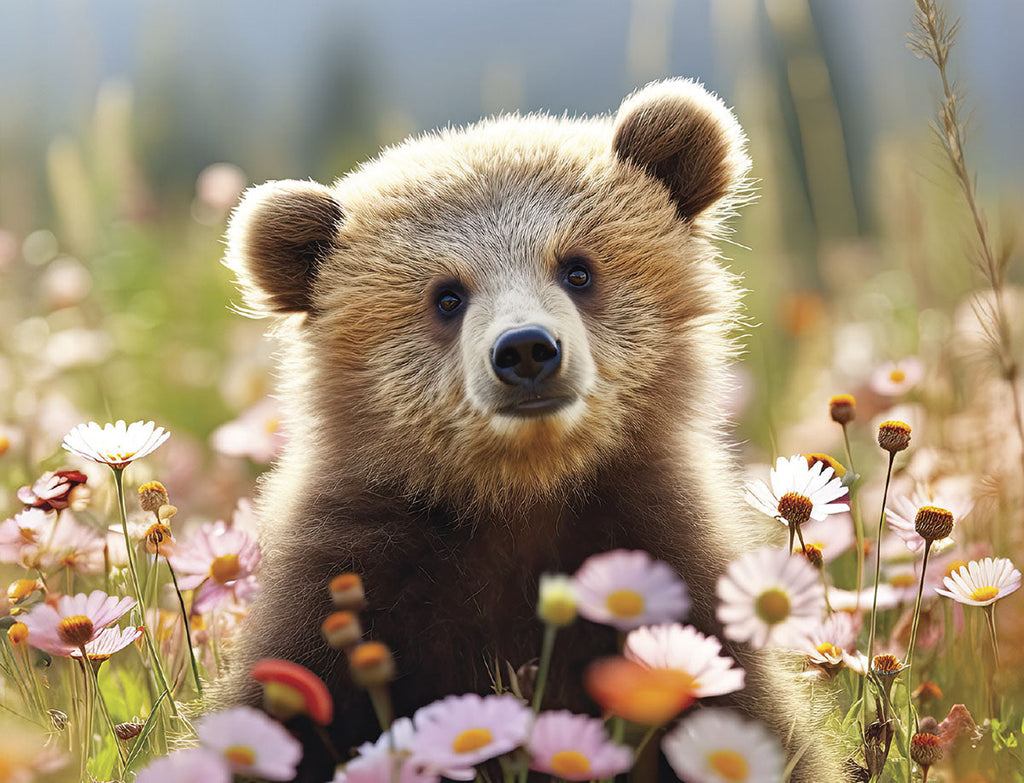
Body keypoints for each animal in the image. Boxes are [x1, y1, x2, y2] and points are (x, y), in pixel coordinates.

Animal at [215, 78, 847, 782]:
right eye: (446, 295)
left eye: (577, 267)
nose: (525, 350)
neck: (520, 497)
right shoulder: (349, 587)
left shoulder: (669, 569)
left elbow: (749, 726)